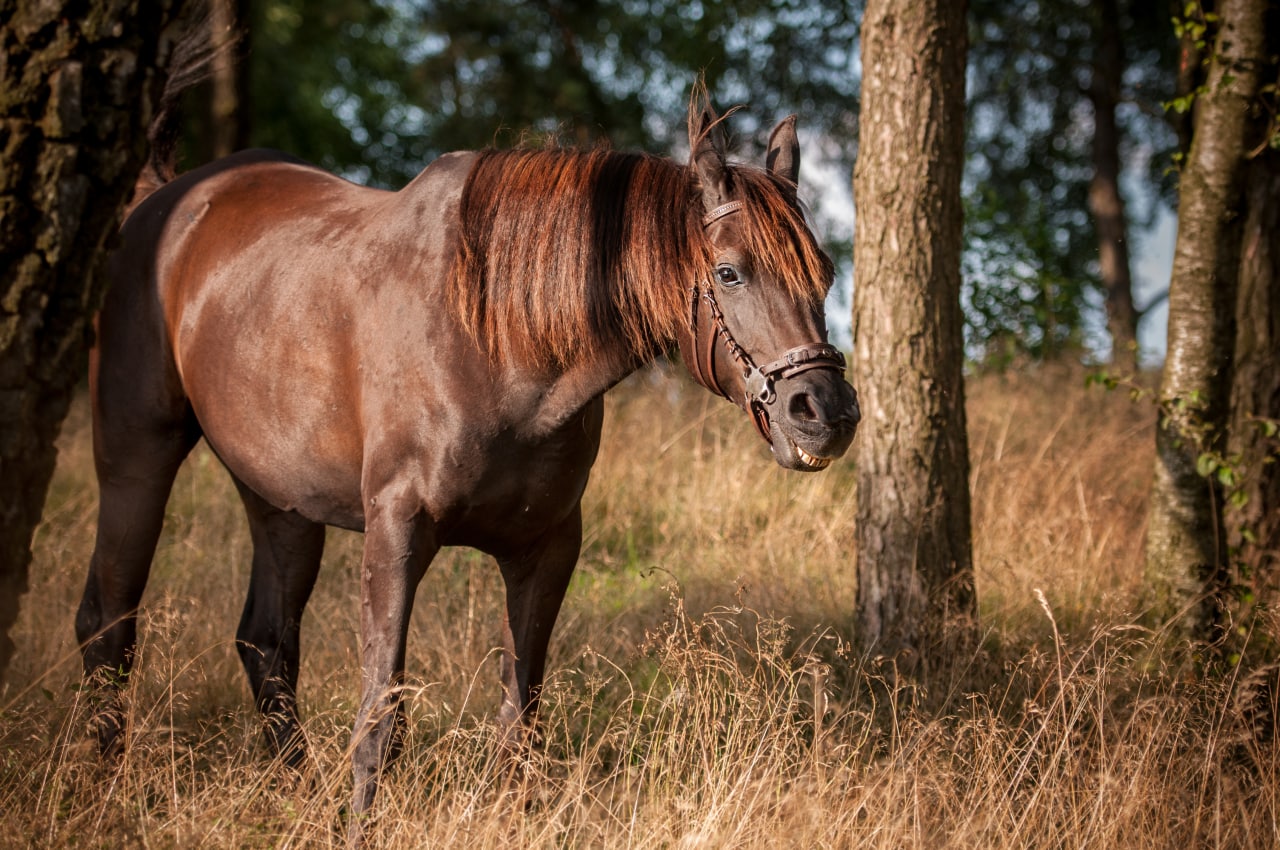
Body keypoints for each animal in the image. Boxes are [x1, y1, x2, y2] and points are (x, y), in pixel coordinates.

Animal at [77, 81, 860, 834]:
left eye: (823, 272)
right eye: (728, 273)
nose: (826, 413)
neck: (499, 339)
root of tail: (164, 200)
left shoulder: (547, 549)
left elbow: (521, 717)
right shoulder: (396, 533)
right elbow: (382, 717)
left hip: (280, 500)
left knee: (266, 644)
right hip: (135, 456)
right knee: (107, 623)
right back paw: (106, 793)